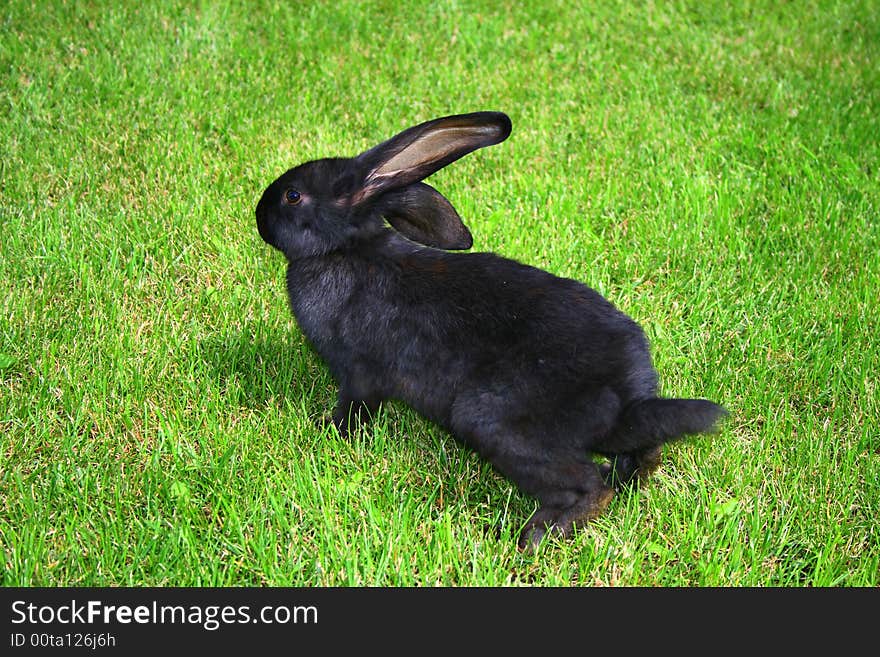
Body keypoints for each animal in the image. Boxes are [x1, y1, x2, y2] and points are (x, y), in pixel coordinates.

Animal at [253, 113, 720, 548]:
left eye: (293, 196)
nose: (258, 215)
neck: (344, 249)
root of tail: (625, 401)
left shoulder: (360, 375)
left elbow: (355, 409)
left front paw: (326, 429)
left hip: (492, 422)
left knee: (589, 486)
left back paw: (533, 536)